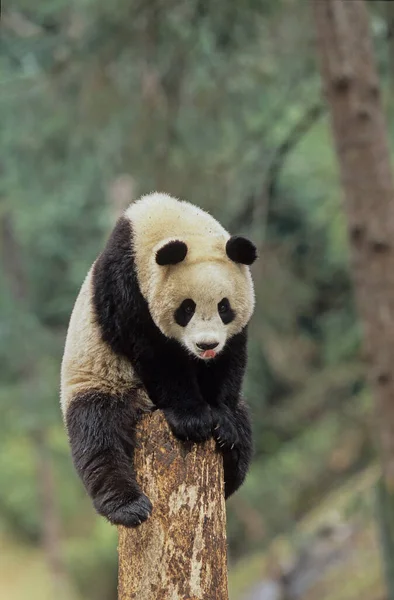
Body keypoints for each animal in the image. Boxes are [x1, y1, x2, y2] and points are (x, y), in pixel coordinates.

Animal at [60, 195, 258, 528]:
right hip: (100, 379)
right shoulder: (126, 289)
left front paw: (222, 422)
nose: (206, 345)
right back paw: (128, 506)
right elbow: (156, 355)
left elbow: (229, 360)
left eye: (224, 307)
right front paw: (193, 419)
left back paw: (231, 463)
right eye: (187, 308)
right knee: (99, 435)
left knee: (244, 426)